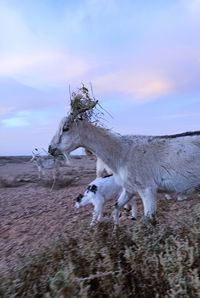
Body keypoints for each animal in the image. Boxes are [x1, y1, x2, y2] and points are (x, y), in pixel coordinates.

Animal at [48, 88, 200, 221]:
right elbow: (115, 209)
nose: (50, 149)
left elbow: (148, 220)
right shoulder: (129, 189)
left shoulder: (147, 188)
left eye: (66, 128)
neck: (122, 152)